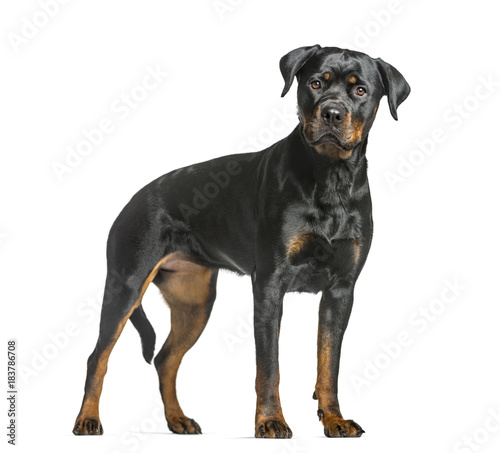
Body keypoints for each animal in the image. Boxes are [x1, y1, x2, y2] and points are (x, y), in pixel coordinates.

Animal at [74, 45, 410, 438]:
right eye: (315, 83)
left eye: (360, 90)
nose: (332, 112)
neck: (331, 178)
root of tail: (132, 201)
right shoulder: (269, 284)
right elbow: (269, 366)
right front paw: (271, 421)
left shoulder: (341, 290)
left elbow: (329, 364)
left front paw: (335, 420)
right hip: (127, 284)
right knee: (99, 356)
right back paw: (87, 419)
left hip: (195, 301)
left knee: (165, 359)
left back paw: (178, 419)